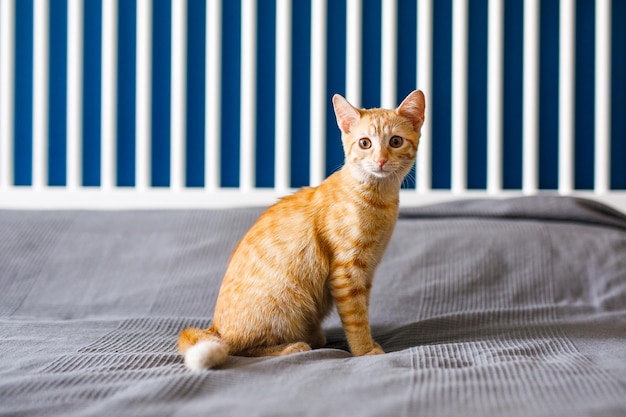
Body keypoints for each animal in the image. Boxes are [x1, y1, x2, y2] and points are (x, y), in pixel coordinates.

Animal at [178, 90, 426, 368]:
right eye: (365, 143)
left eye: (395, 141)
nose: (381, 160)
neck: (378, 197)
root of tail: (215, 327)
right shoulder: (347, 272)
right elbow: (356, 318)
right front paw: (364, 351)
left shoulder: (367, 272)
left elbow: (363, 309)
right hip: (286, 301)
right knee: (240, 347)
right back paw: (293, 346)